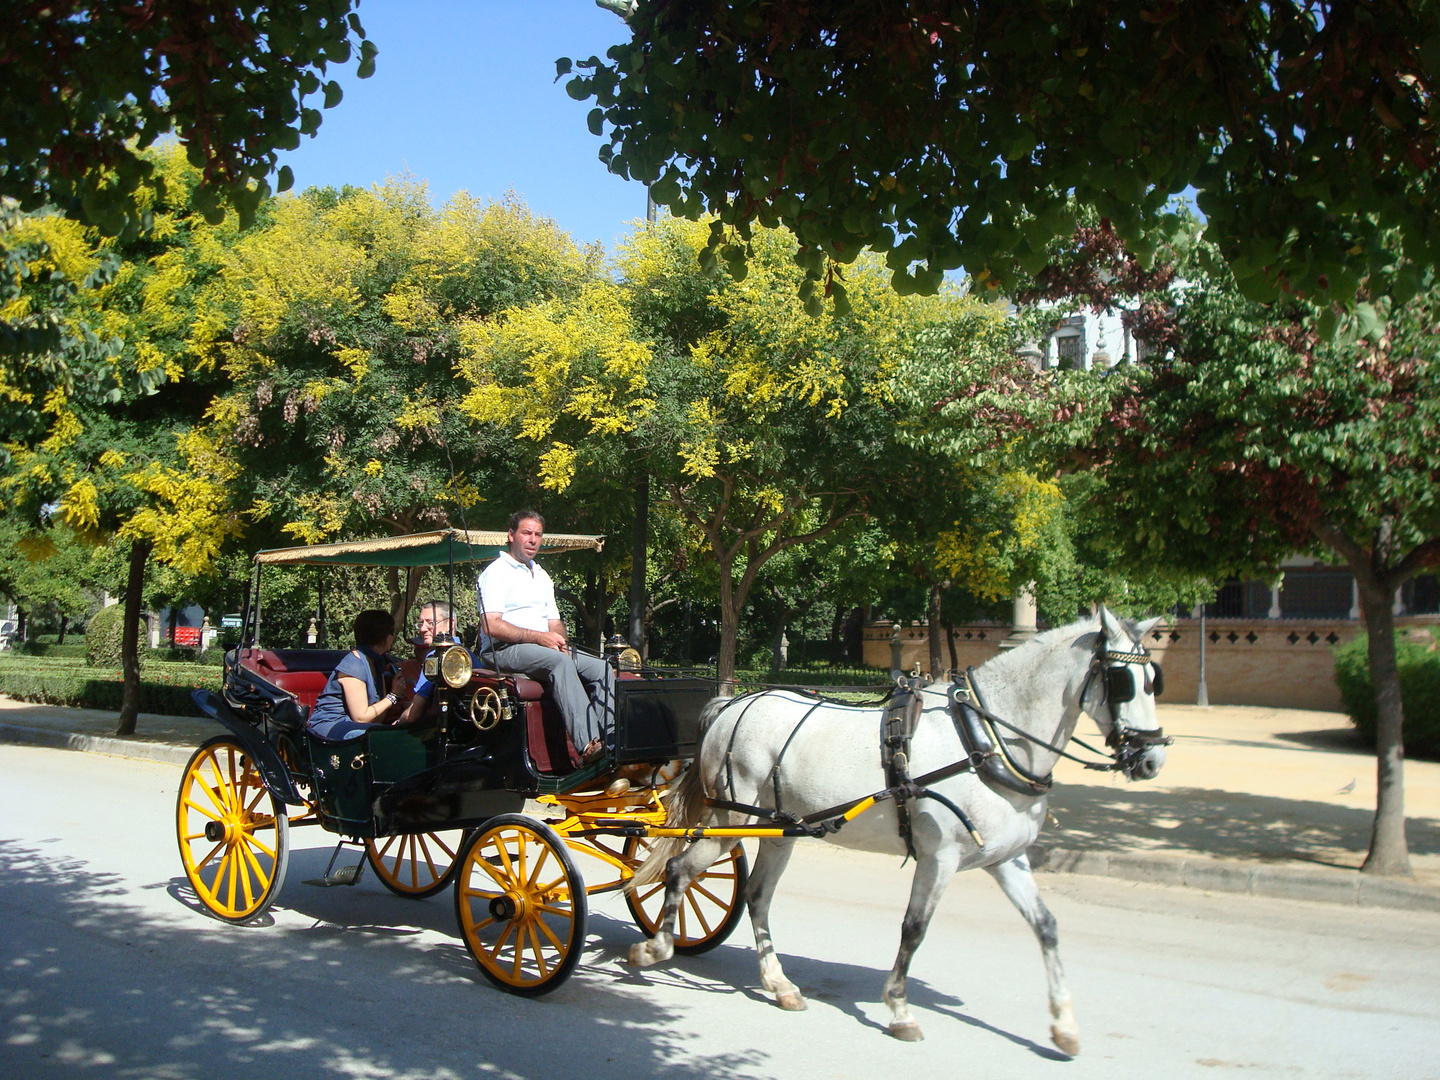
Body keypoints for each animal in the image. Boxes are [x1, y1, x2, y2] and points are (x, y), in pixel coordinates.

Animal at [630, 610, 1169, 1059]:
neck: (986, 741)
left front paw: (1063, 1025)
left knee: (757, 897)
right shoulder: (940, 857)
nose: (1152, 758)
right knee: (679, 869)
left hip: (779, 829)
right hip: (731, 823)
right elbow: (914, 929)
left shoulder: (1006, 859)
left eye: (1153, 681)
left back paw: (776, 982)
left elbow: (1047, 927)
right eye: (1122, 681)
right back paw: (657, 947)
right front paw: (899, 1009)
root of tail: (731, 704)